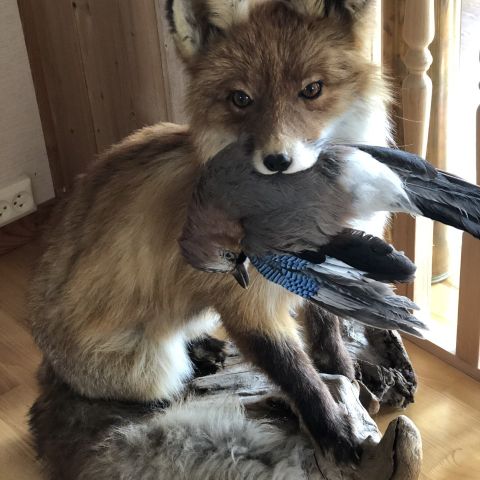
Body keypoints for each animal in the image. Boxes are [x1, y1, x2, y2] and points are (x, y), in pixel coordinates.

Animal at [28, 0, 392, 464]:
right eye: (241, 98)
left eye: (312, 89)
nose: (276, 161)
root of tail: (46, 356)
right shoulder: (247, 305)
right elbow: (298, 376)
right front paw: (332, 429)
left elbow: (327, 334)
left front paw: (347, 378)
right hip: (149, 368)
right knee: (157, 390)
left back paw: (204, 348)